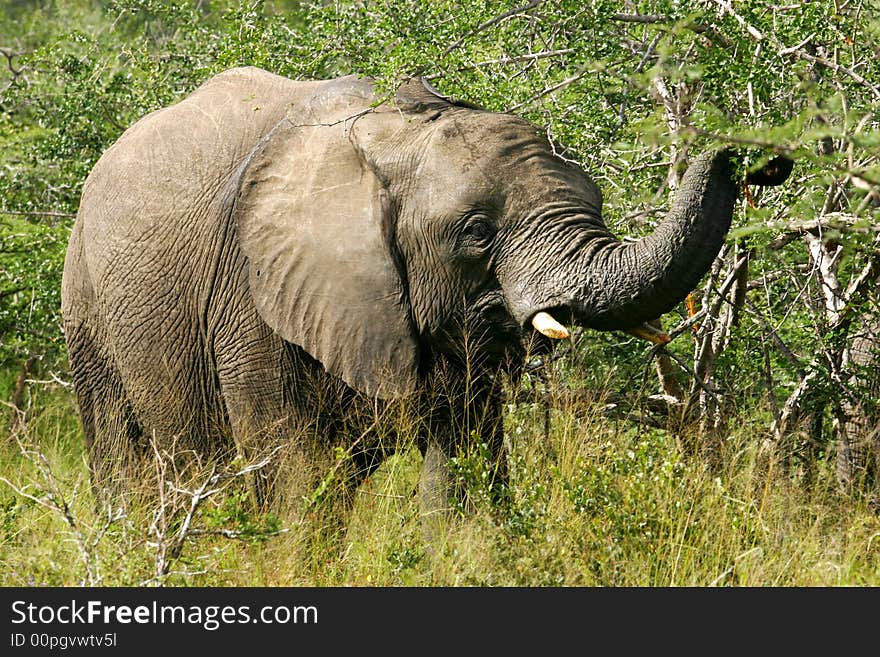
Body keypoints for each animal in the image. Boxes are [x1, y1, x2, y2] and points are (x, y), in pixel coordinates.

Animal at [62, 65, 792, 528]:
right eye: (477, 232)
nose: (764, 160)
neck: (389, 138)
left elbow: (463, 471)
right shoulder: (251, 294)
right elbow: (290, 471)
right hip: (86, 307)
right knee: (123, 459)